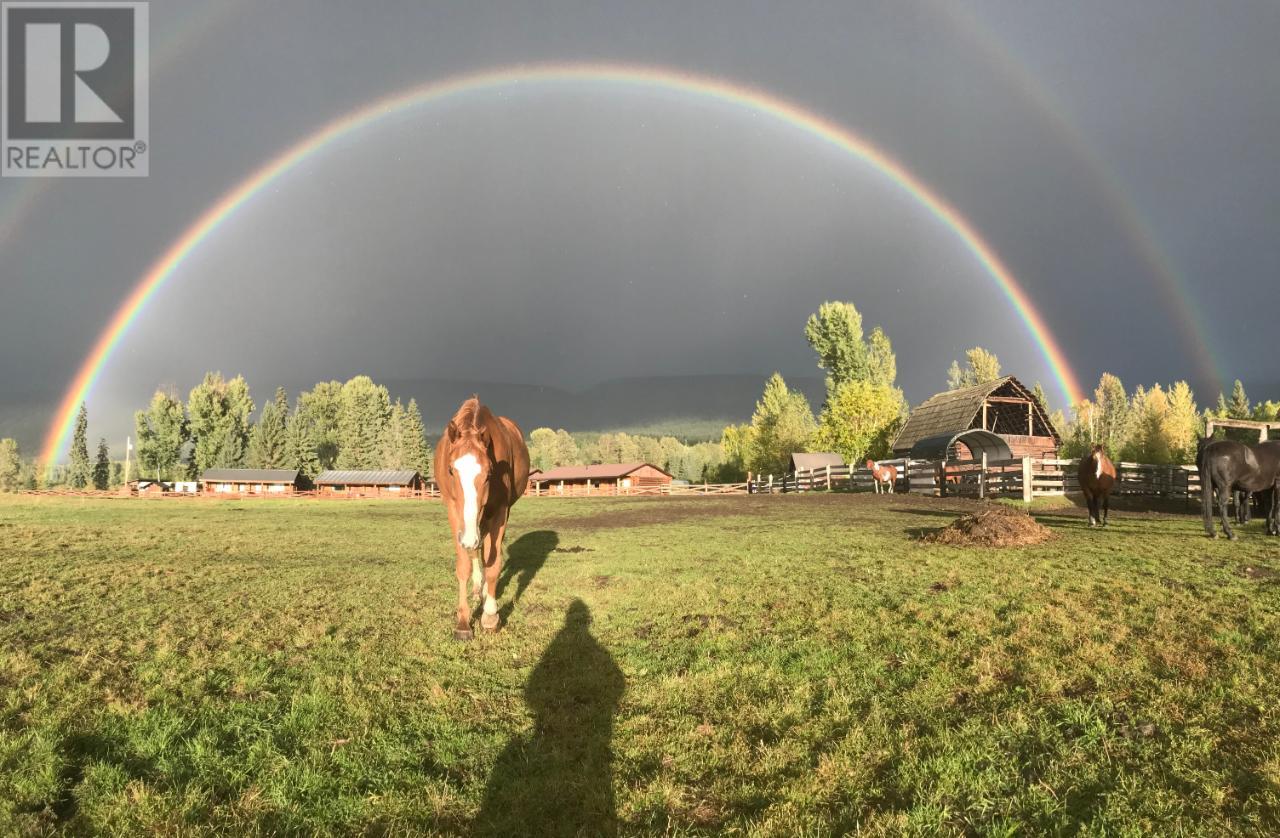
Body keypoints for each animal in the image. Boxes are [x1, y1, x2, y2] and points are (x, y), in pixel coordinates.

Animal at [432, 396, 527, 639]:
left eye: (489, 473)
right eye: (450, 470)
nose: (468, 538)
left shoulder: (500, 511)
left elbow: (493, 562)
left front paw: (490, 615)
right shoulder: (454, 511)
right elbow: (464, 563)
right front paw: (463, 623)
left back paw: (484, 593)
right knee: (476, 550)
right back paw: (477, 589)